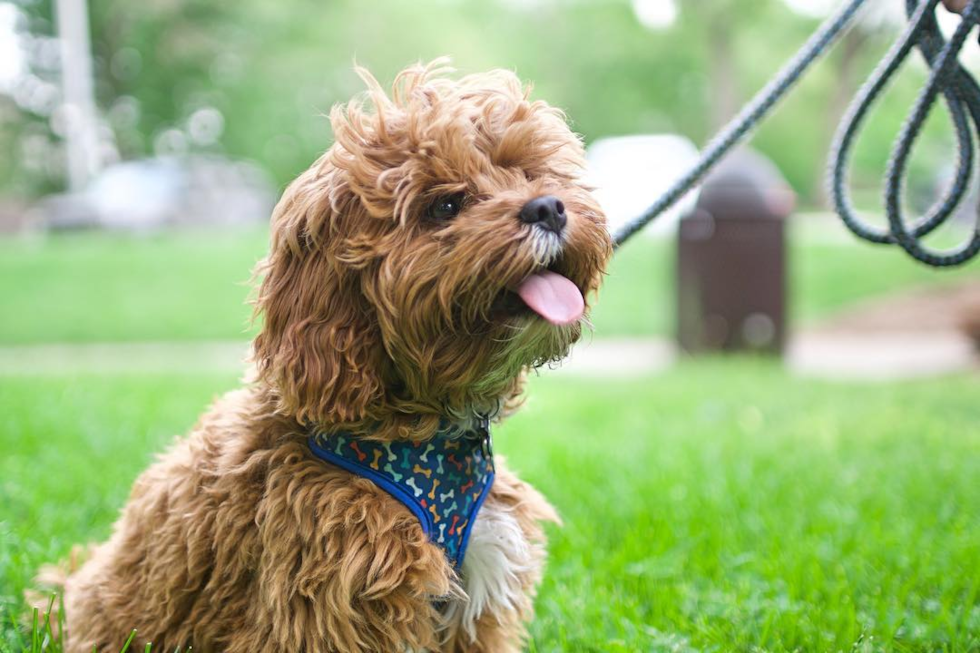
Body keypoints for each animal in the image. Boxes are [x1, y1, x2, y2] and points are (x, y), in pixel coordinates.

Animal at [40, 61, 612, 652]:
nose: (548, 206)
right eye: (445, 205)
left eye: (525, 173)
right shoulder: (323, 601)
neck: (418, 430)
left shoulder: (478, 583)